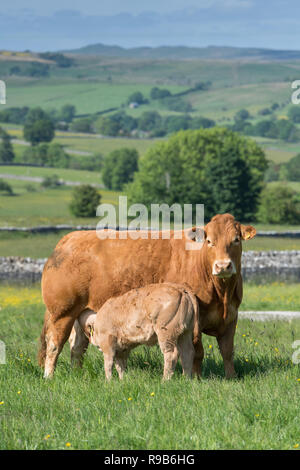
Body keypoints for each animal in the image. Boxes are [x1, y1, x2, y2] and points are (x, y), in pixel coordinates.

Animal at [38, 213, 256, 378]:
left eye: (236, 240)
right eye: (210, 242)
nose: (223, 266)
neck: (222, 294)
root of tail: (70, 238)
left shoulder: (231, 318)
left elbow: (227, 352)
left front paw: (231, 378)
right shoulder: (196, 321)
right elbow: (197, 353)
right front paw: (197, 378)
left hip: (81, 313)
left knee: (77, 347)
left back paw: (76, 374)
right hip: (62, 312)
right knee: (54, 344)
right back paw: (49, 376)